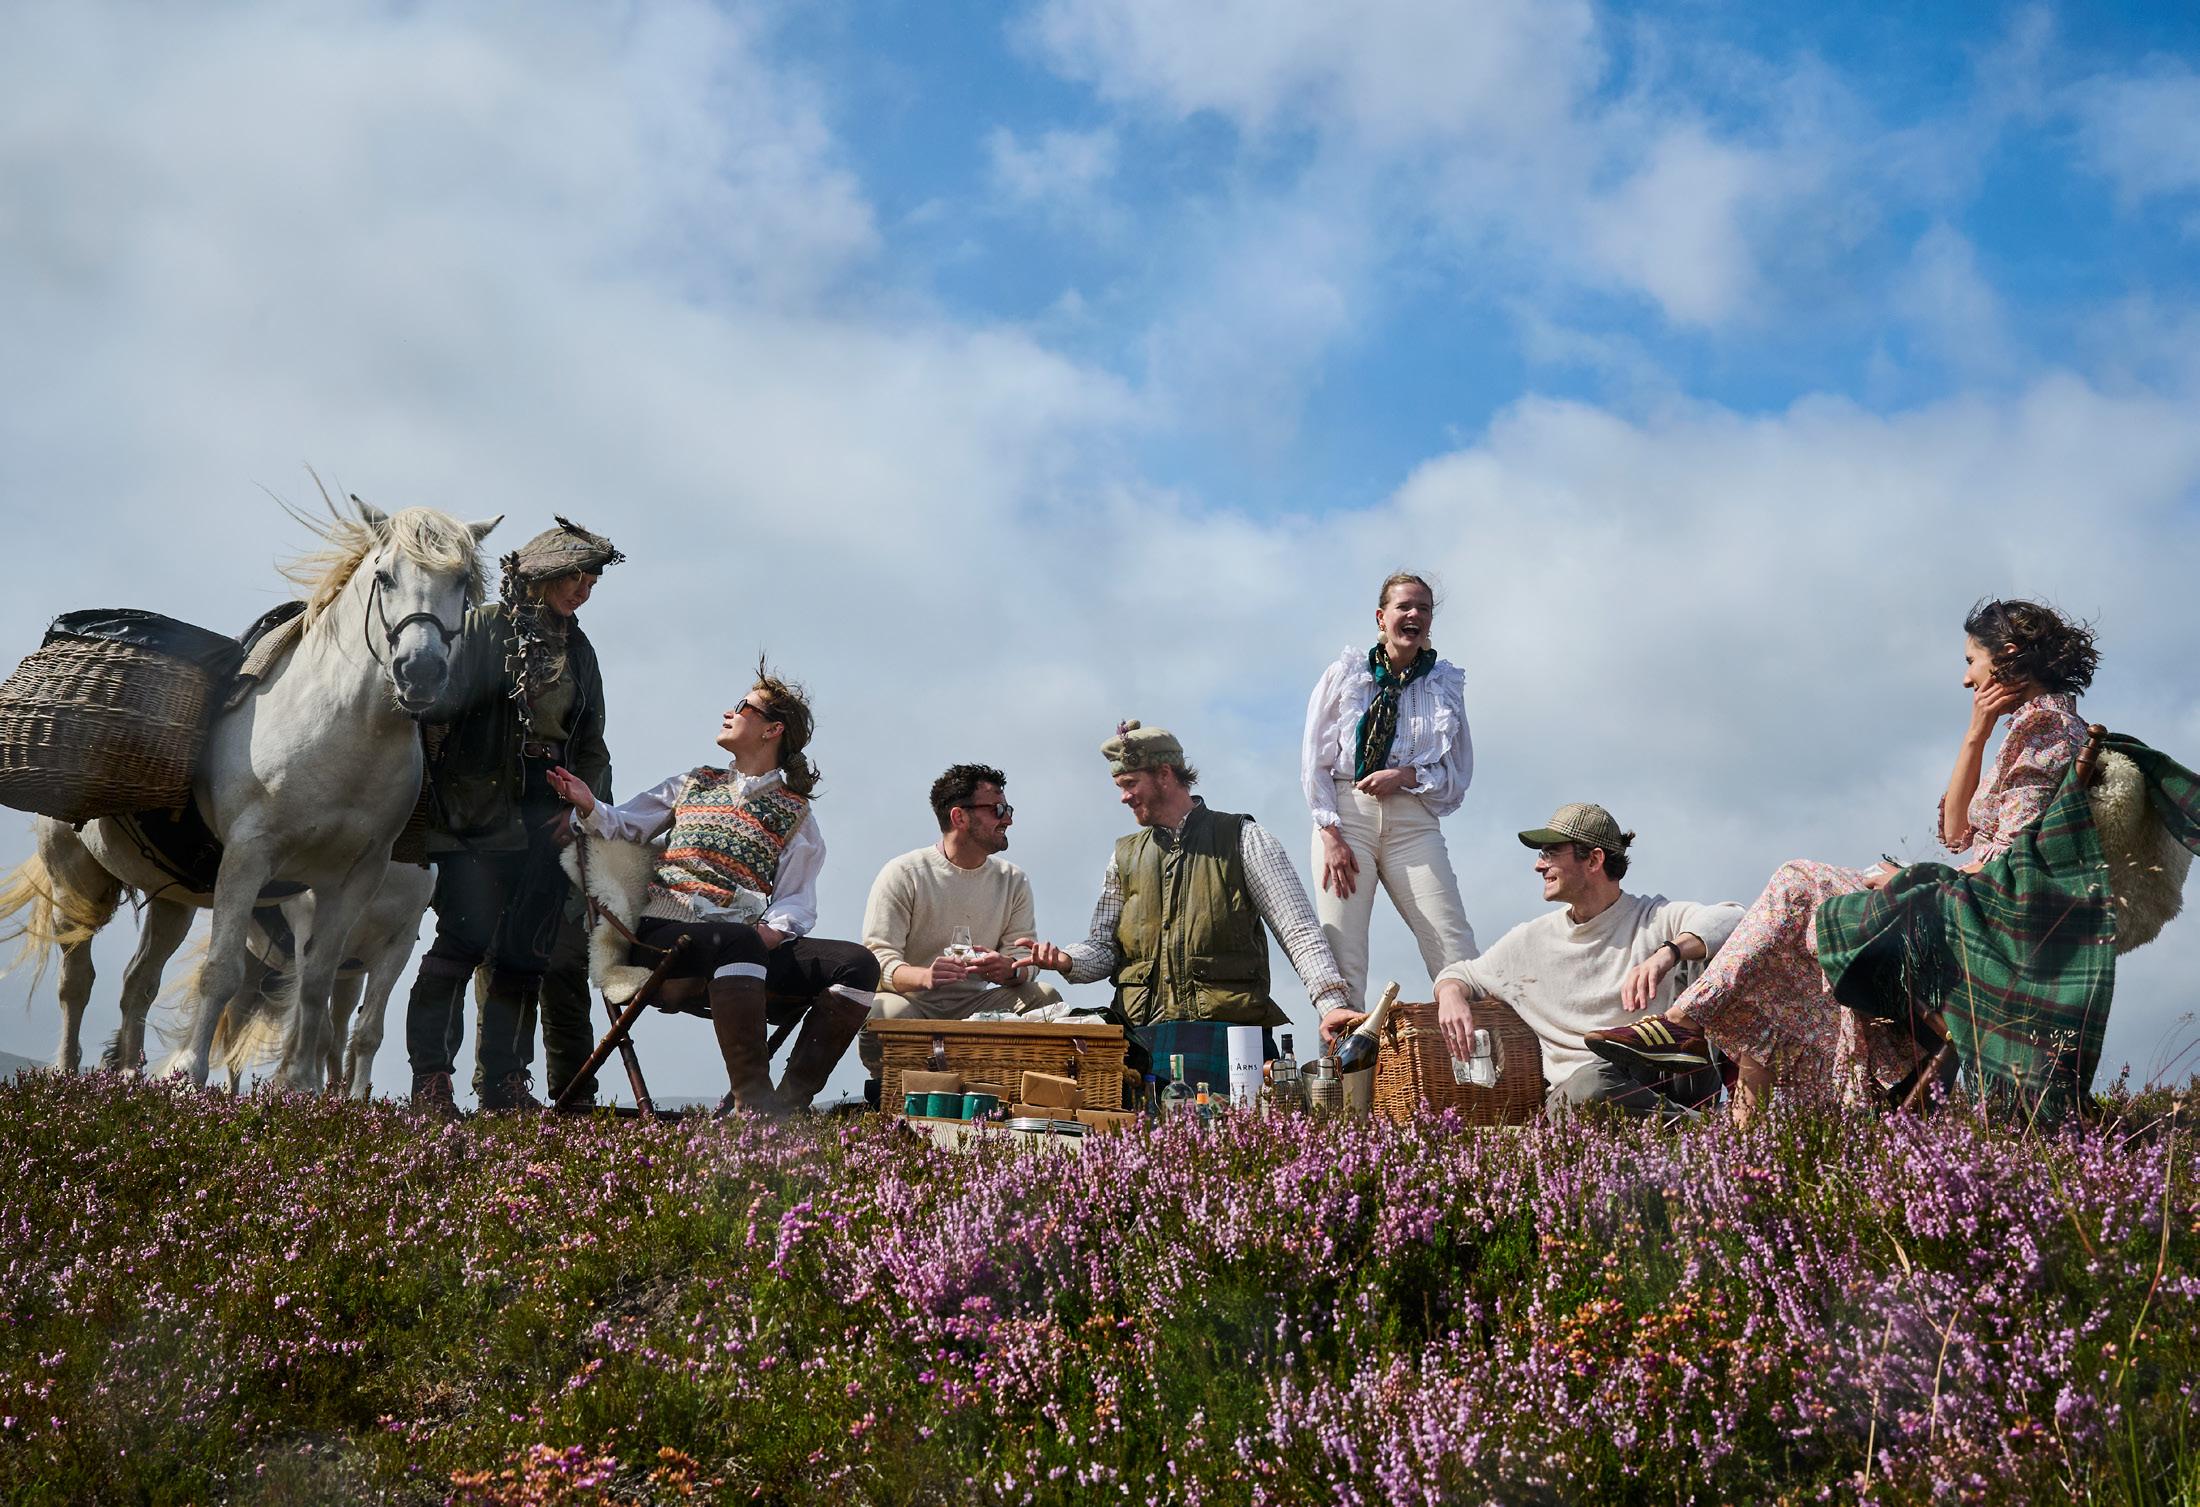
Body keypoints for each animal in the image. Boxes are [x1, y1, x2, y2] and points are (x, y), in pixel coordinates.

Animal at [0, 498, 495, 1089]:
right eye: (384, 576)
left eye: (462, 581)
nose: (420, 671)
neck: (340, 734)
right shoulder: (250, 857)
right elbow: (222, 972)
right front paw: (189, 1074)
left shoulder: (354, 887)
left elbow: (318, 991)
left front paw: (302, 1088)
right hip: (75, 876)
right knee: (77, 980)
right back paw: (67, 1073)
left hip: (173, 898)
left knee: (138, 983)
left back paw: (127, 1077)